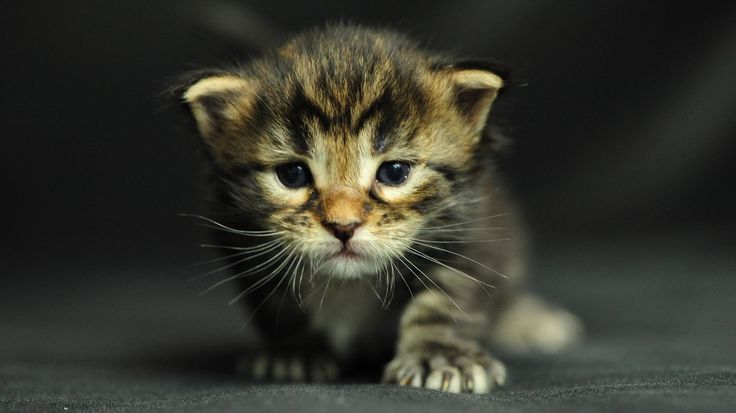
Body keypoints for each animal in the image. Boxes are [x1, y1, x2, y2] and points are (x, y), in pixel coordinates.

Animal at [178, 25, 580, 392]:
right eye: (292, 175)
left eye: (394, 172)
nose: (343, 226)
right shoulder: (247, 247)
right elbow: (280, 306)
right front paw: (294, 352)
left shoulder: (474, 235)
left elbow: (446, 301)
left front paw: (441, 356)